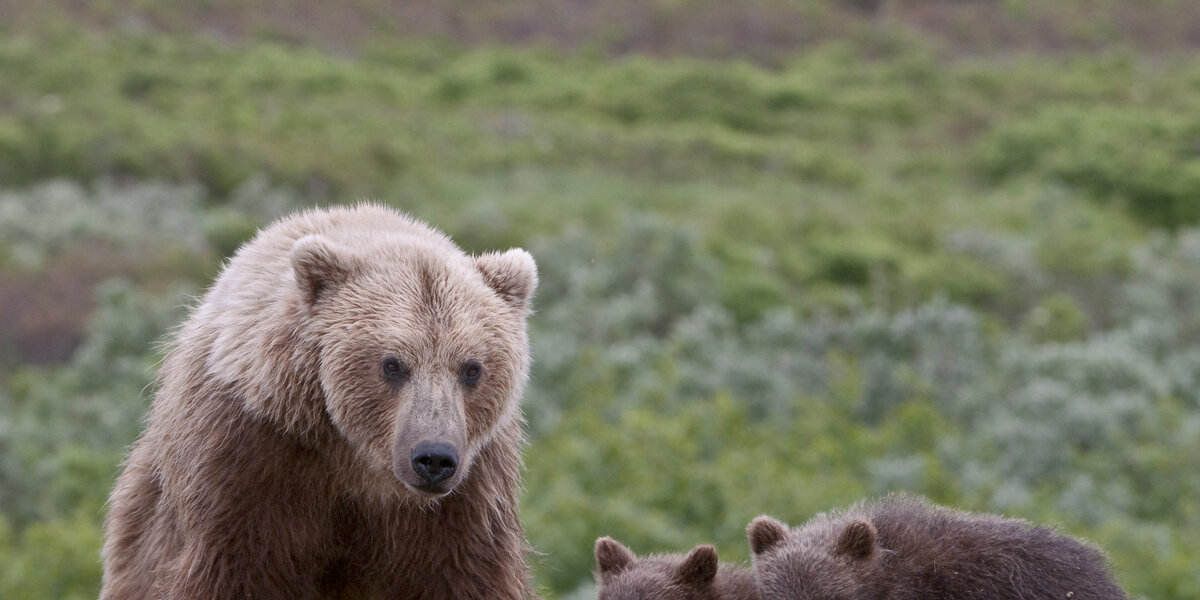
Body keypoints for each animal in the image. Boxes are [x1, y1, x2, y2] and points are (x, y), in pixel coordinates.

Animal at [98, 204, 540, 597]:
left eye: (472, 368)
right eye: (392, 364)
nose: (433, 457)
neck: (357, 462)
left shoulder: (466, 502)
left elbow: (467, 576)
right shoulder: (249, 468)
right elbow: (231, 572)